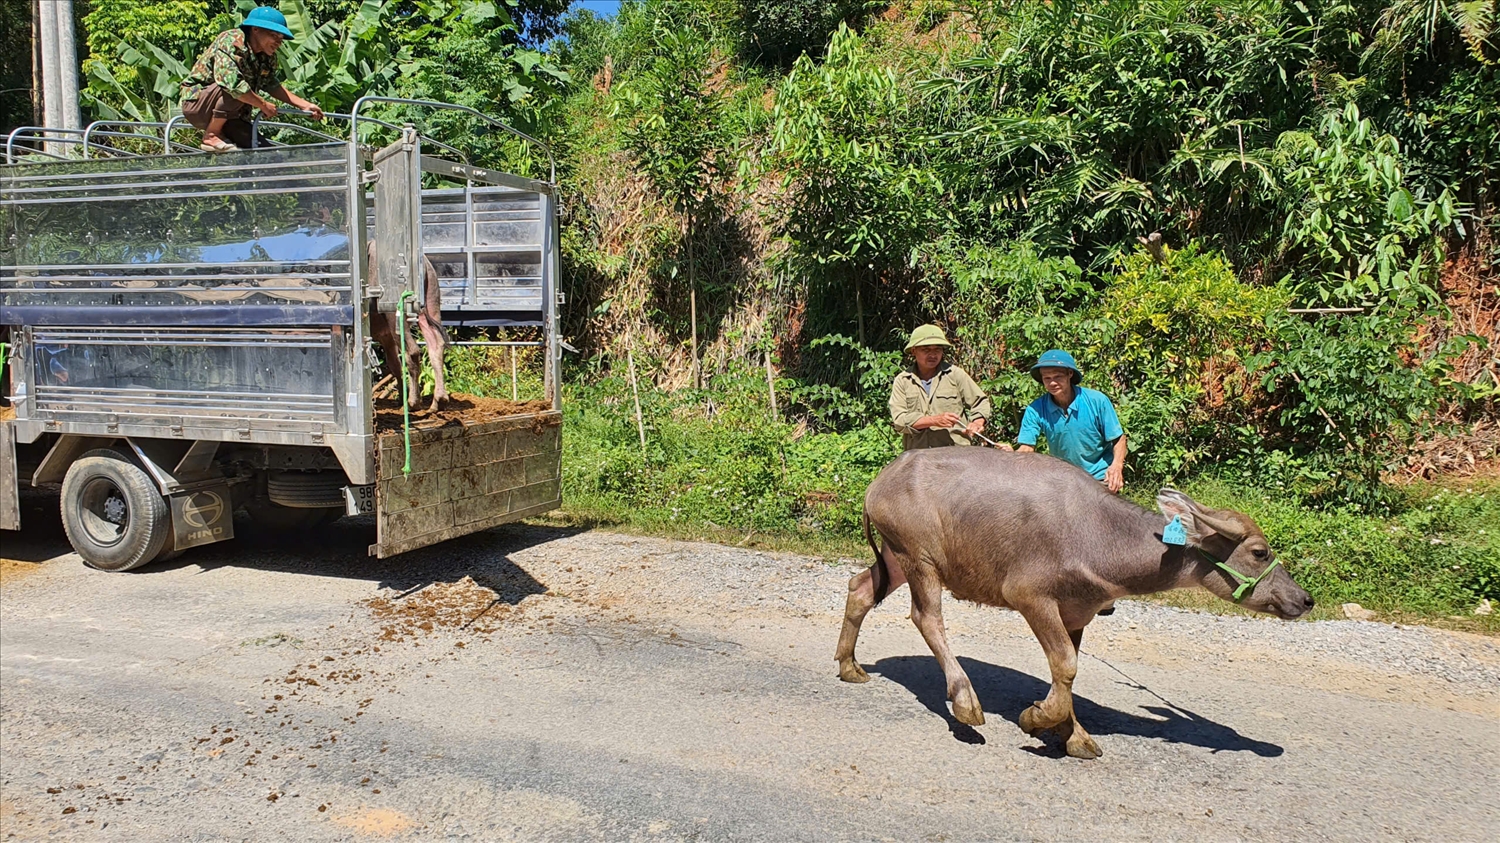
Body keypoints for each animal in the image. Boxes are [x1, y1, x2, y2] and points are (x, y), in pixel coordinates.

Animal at [364, 241, 444, 411]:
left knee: (412, 351)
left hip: (397, 312)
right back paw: (438, 400)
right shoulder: (385, 336)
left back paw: (414, 402)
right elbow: (395, 365)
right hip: (431, 301)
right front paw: (400, 398)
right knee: (436, 344)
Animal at [840, 450, 1320, 759]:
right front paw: (1036, 718)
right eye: (1259, 552)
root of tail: (880, 481)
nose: (1304, 598)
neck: (1099, 534)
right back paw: (965, 704)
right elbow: (1065, 667)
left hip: (897, 555)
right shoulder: (1030, 596)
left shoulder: (1077, 612)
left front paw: (1072, 735)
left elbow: (1066, 672)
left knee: (861, 588)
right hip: (919, 557)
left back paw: (849, 666)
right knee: (927, 617)